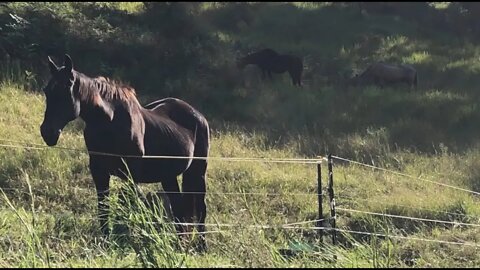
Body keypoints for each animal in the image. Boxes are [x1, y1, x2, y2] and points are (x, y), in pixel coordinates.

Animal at [41, 54, 212, 251]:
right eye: (46, 91)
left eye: (65, 91)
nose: (47, 132)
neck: (110, 121)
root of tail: (199, 116)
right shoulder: (99, 172)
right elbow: (103, 207)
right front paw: (106, 241)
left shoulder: (130, 174)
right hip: (168, 176)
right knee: (179, 209)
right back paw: (179, 245)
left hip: (198, 170)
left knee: (200, 208)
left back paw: (201, 246)